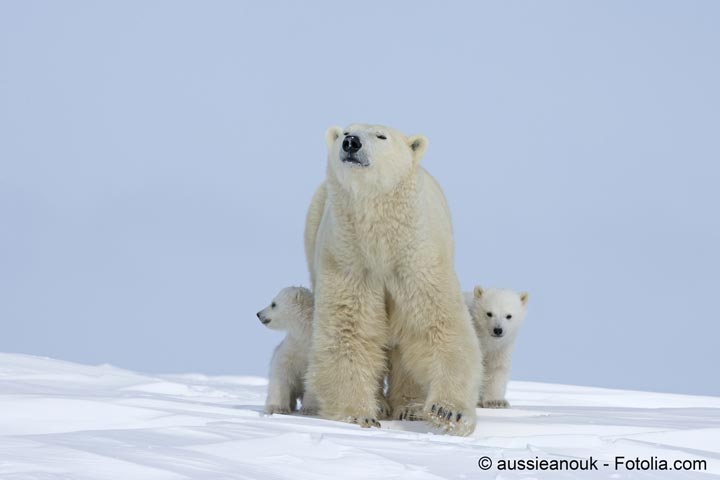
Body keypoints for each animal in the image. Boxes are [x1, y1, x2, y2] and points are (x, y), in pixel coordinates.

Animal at [306, 124, 484, 436]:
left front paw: (448, 412)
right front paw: (359, 416)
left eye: (381, 136)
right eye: (347, 131)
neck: (381, 241)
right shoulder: (349, 260)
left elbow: (440, 325)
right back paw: (381, 404)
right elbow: (349, 331)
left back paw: (410, 407)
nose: (351, 142)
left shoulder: (417, 260)